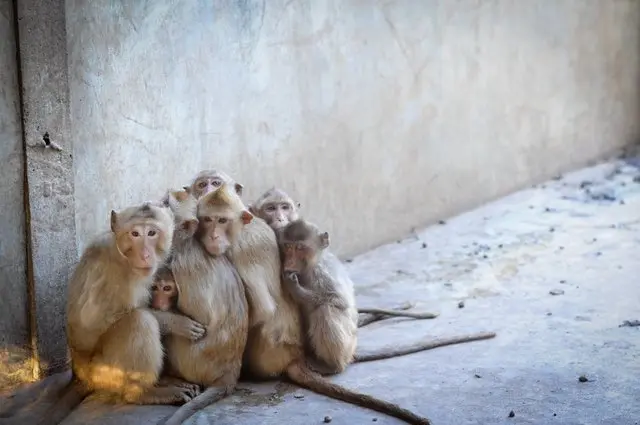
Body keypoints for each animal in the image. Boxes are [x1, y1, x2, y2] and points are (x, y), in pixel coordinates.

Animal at [158, 187, 250, 424]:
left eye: (165, 204)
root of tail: (231, 372)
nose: (151, 203)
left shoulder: (173, 262)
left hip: (191, 362)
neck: (184, 242)